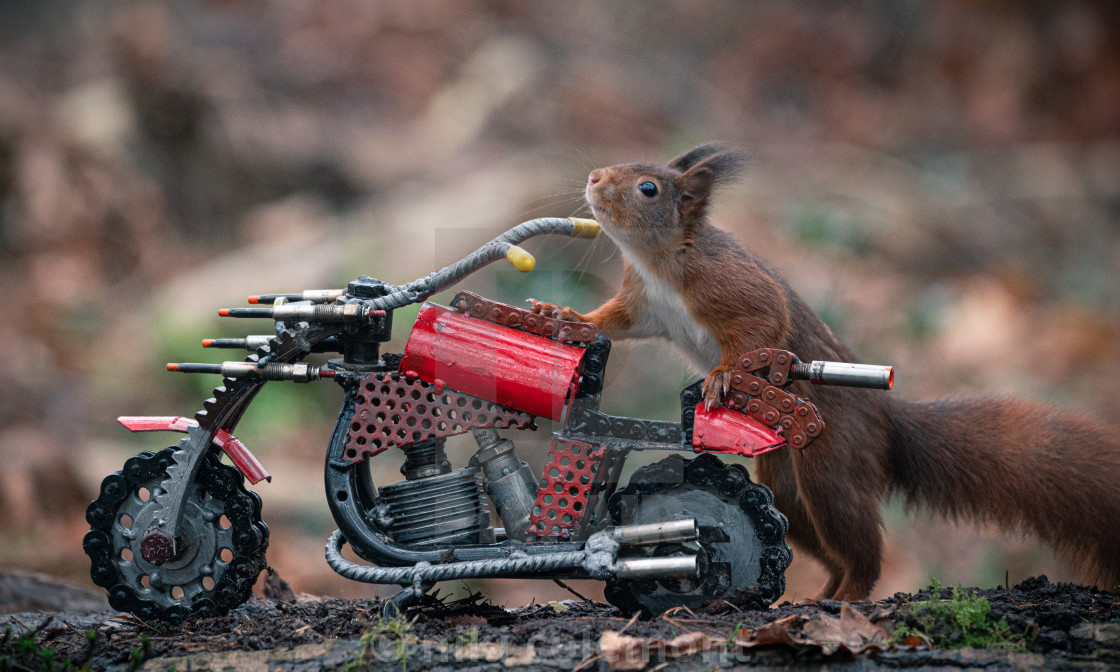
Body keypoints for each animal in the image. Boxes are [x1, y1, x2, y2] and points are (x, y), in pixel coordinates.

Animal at [528, 141, 1120, 600]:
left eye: (648, 188)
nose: (594, 177)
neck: (658, 260)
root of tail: (884, 419)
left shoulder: (734, 286)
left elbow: (763, 324)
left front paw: (721, 376)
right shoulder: (643, 305)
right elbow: (613, 322)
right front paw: (566, 317)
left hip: (832, 464)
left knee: (860, 548)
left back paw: (848, 596)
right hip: (787, 484)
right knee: (815, 539)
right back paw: (817, 594)